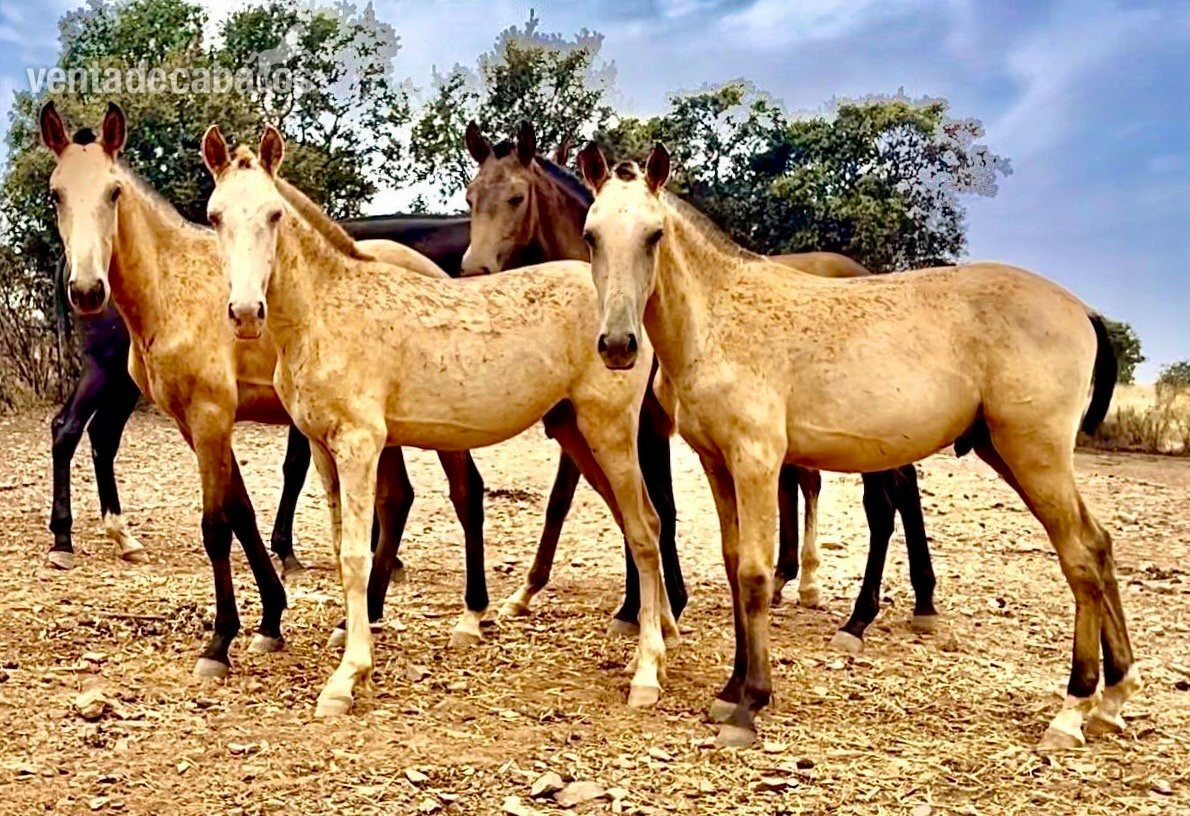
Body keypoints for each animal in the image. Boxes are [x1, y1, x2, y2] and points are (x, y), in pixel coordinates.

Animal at [40, 102, 488, 677]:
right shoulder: (195, 422)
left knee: (464, 492)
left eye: (113, 192)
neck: (173, 286)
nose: (87, 289)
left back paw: (470, 616)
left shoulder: (211, 414)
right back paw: (364, 615)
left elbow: (215, 525)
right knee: (398, 499)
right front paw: (270, 621)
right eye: (56, 193)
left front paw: (219, 642)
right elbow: (241, 513)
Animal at [202, 124, 674, 717]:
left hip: (610, 430)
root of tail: (626, 315)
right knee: (637, 522)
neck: (326, 308)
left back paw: (647, 671)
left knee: (646, 527)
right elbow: (338, 546)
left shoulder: (360, 444)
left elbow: (357, 554)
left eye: (273, 215)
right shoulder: (321, 448)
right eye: (216, 215)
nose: (245, 313)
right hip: (575, 430)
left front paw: (346, 678)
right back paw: (663, 633)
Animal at [461, 120, 937, 648]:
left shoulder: (648, 427)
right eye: (471, 195)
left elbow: (658, 508)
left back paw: (858, 617)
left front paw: (649, 607)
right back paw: (917, 599)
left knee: (882, 503)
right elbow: (566, 503)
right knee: (899, 490)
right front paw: (529, 593)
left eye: (516, 197)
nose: (473, 270)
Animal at [576, 142, 1139, 752]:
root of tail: (1082, 309)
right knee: (1098, 546)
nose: (617, 345)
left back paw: (1073, 708)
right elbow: (732, 566)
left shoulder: (757, 461)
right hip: (1006, 452)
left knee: (1079, 555)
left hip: (1035, 455)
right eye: (591, 235)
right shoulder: (717, 463)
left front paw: (750, 704)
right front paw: (730, 690)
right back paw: (1113, 699)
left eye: (654, 234)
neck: (720, 318)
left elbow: (754, 574)